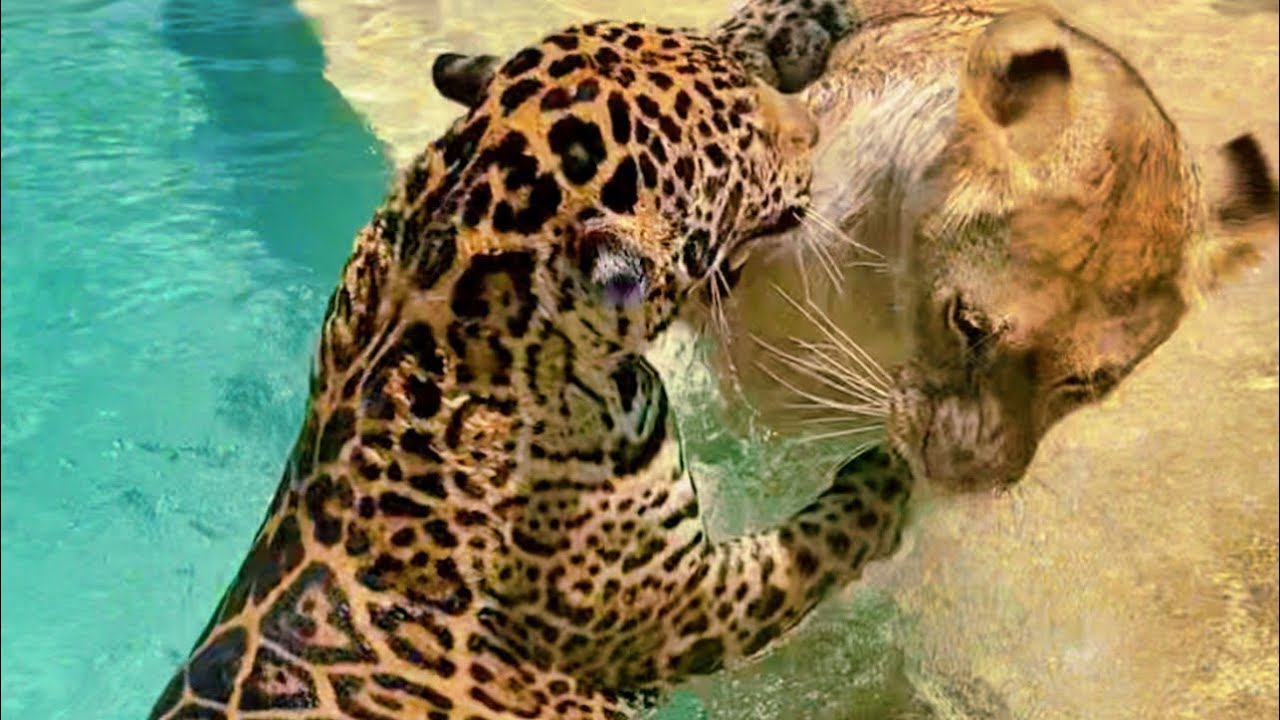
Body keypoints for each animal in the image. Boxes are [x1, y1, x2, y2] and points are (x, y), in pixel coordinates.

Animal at [146, 7, 921, 720]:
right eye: (747, 141)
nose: (813, 128)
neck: (441, 259)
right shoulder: (682, 606)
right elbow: (812, 545)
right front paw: (892, 471)